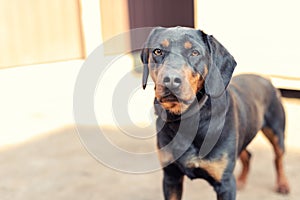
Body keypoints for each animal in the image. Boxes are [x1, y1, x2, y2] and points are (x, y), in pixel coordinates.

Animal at [141, 26, 290, 200]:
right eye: (157, 51)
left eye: (195, 52)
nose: (170, 79)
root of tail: (266, 79)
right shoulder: (171, 177)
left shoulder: (224, 184)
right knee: (248, 155)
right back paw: (242, 181)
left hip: (276, 131)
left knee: (278, 158)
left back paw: (283, 184)